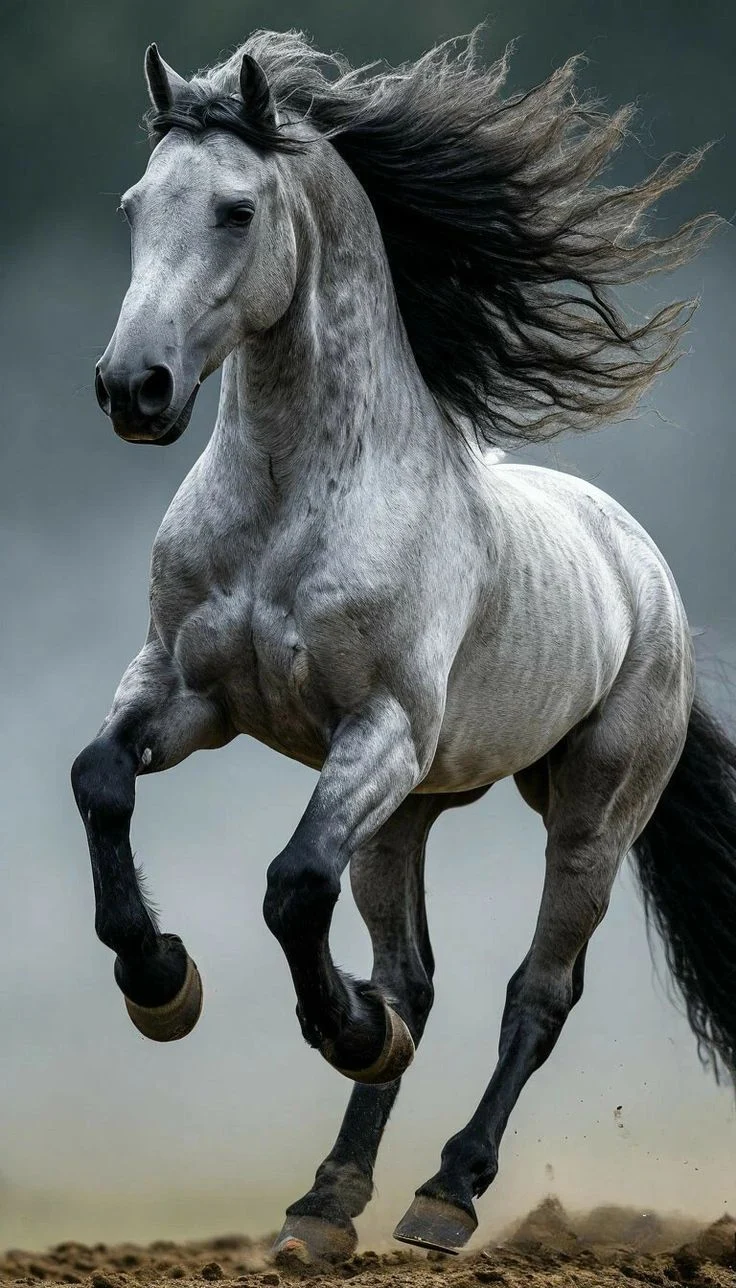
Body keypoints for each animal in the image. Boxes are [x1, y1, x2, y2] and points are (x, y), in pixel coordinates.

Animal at [72, 29, 736, 1261]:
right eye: (136, 205)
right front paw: (162, 983)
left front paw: (345, 1028)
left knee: (536, 994)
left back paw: (445, 1192)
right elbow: (100, 781)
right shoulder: (183, 692)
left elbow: (290, 886)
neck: (290, 503)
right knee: (415, 974)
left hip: (586, 816)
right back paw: (325, 1200)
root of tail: (643, 570)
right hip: (405, 815)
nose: (132, 388)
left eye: (236, 209)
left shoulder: (374, 729)